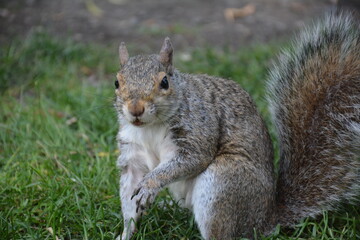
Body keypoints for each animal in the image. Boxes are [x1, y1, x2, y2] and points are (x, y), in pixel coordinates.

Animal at [113, 13, 360, 240]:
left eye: (164, 82)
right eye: (116, 82)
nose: (135, 109)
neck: (149, 127)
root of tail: (265, 219)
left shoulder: (199, 129)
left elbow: (191, 159)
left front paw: (150, 184)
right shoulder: (132, 153)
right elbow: (129, 195)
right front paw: (125, 233)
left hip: (223, 182)